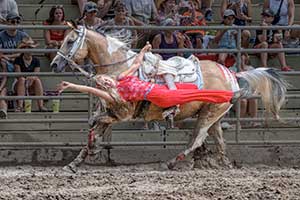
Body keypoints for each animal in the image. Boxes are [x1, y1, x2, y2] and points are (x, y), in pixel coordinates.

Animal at [49, 24, 288, 172]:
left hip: (209, 116)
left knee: (196, 139)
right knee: (219, 141)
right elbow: (93, 133)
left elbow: (95, 129)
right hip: (214, 116)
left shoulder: (121, 113)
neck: (122, 66)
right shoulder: (110, 111)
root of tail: (232, 76)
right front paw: (74, 163)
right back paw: (223, 164)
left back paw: (171, 163)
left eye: (70, 41)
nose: (54, 64)